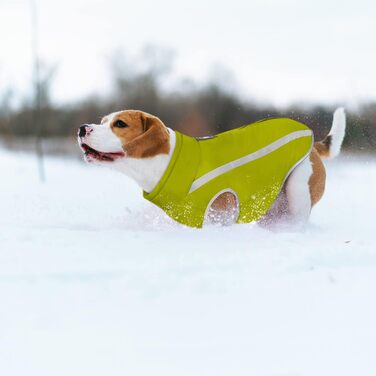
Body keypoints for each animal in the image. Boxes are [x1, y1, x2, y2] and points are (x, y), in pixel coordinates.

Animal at [77, 107, 346, 228]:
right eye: (103, 121)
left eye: (120, 124)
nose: (82, 128)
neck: (166, 162)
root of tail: (313, 145)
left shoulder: (219, 216)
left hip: (297, 192)